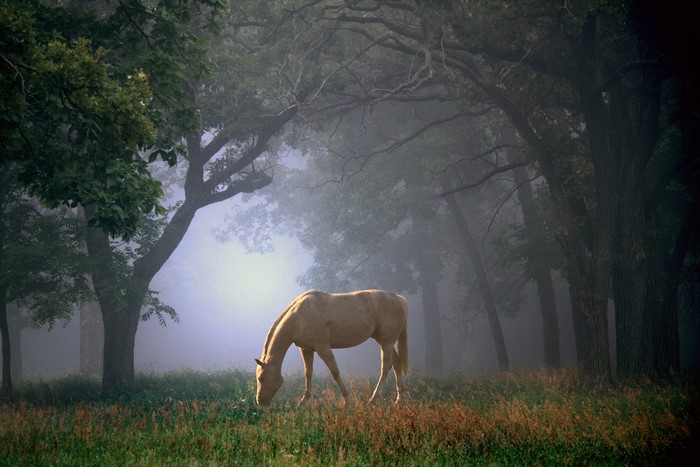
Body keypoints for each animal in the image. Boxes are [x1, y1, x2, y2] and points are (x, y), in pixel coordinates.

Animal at [254, 289, 409, 406]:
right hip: (383, 340)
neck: (299, 317)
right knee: (396, 363)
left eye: (261, 378)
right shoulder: (306, 349)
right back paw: (399, 400)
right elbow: (308, 373)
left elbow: (335, 372)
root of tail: (399, 299)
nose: (260, 401)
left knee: (386, 367)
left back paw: (374, 399)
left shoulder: (323, 347)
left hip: (387, 342)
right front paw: (304, 401)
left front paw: (347, 401)